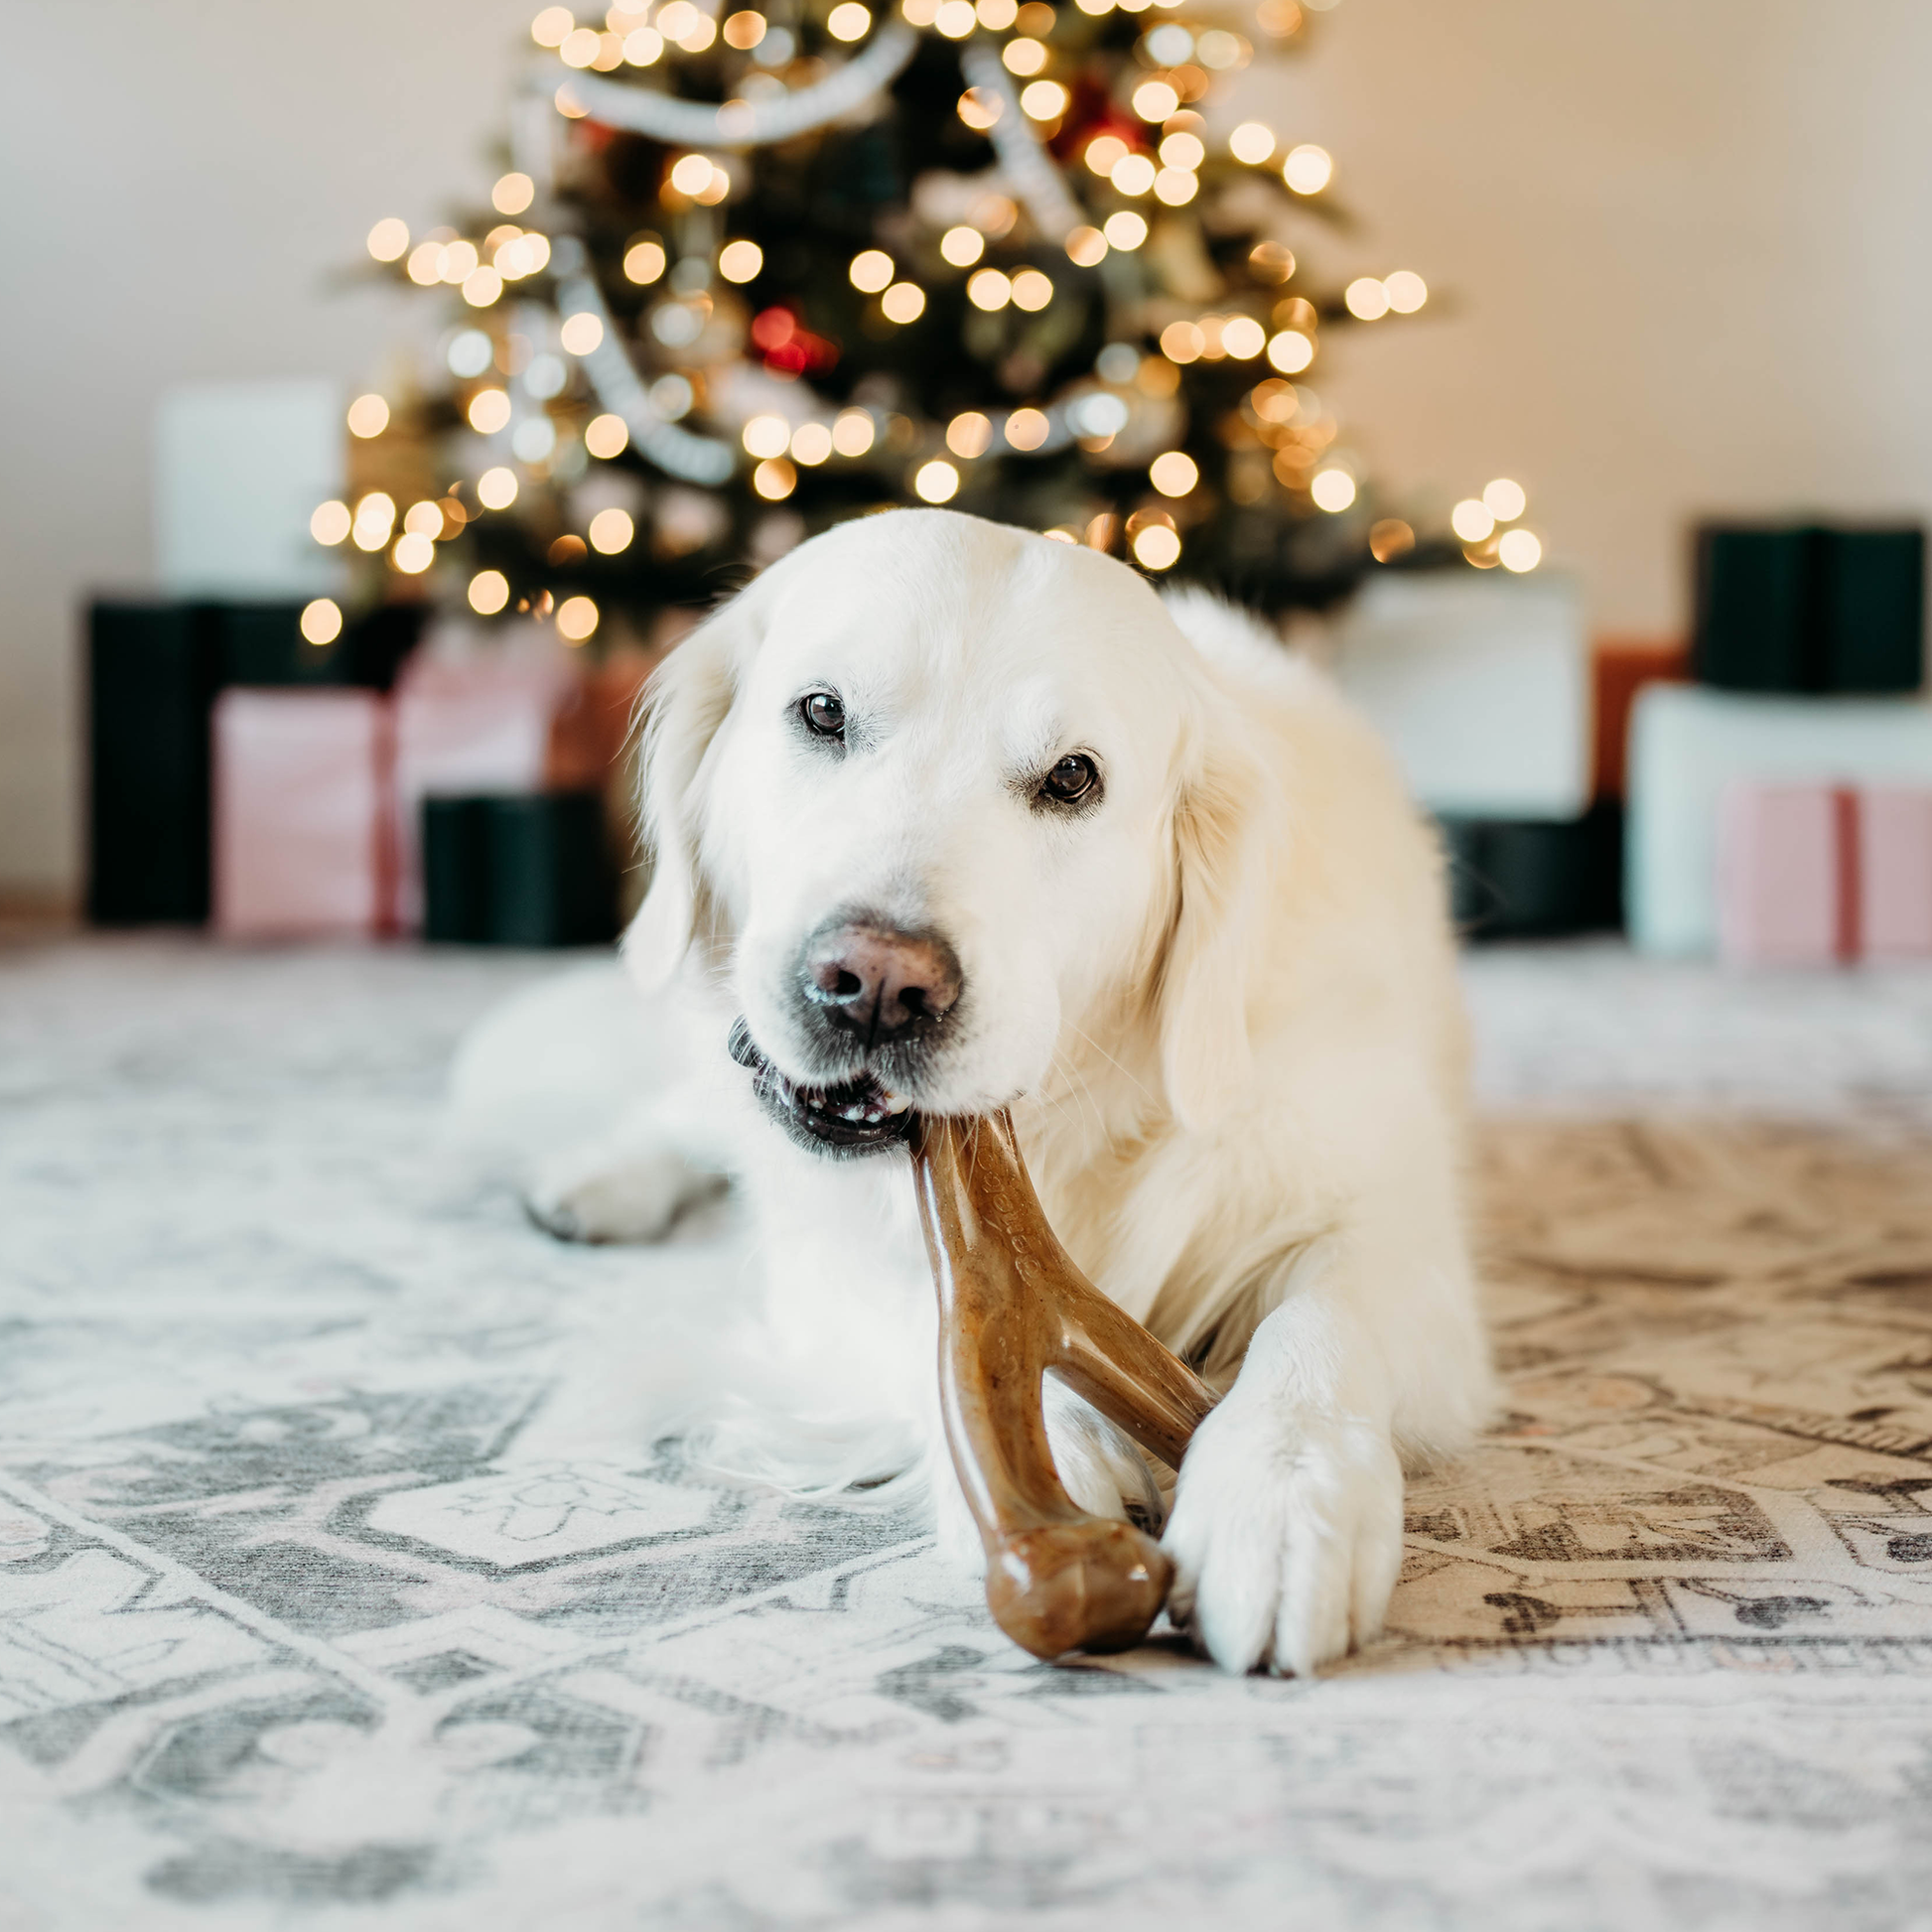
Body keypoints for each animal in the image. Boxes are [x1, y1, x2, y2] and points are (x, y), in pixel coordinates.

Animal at [471, 509, 1491, 1677]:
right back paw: (596, 1179)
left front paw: (1280, 1493)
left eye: (1072, 778)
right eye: (821, 712)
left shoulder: (1396, 1238)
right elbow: (920, 1311)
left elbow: (1319, 1329)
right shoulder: (820, 1271)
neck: (1069, 1130)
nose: (876, 986)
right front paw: (1067, 1450)